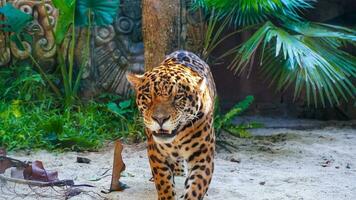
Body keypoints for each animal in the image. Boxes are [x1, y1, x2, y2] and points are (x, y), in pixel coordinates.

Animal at [128, 49, 217, 198]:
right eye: (148, 96)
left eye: (178, 97)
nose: (160, 119)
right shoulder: (156, 154)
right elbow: (164, 184)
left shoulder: (203, 157)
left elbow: (195, 189)